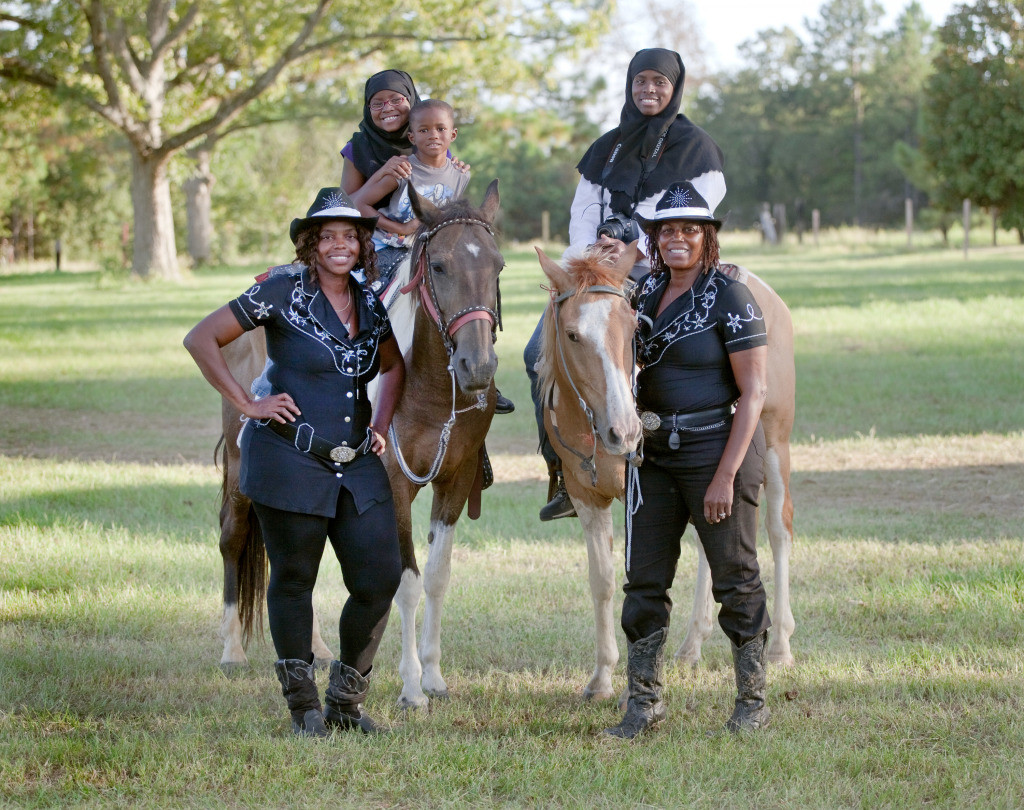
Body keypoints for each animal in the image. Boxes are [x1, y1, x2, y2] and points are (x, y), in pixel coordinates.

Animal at [540, 246, 794, 704]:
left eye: (632, 329)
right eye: (572, 335)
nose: (625, 431)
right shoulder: (587, 498)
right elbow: (603, 582)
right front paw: (602, 678)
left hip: (774, 445)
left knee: (779, 530)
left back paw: (781, 645)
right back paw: (692, 645)